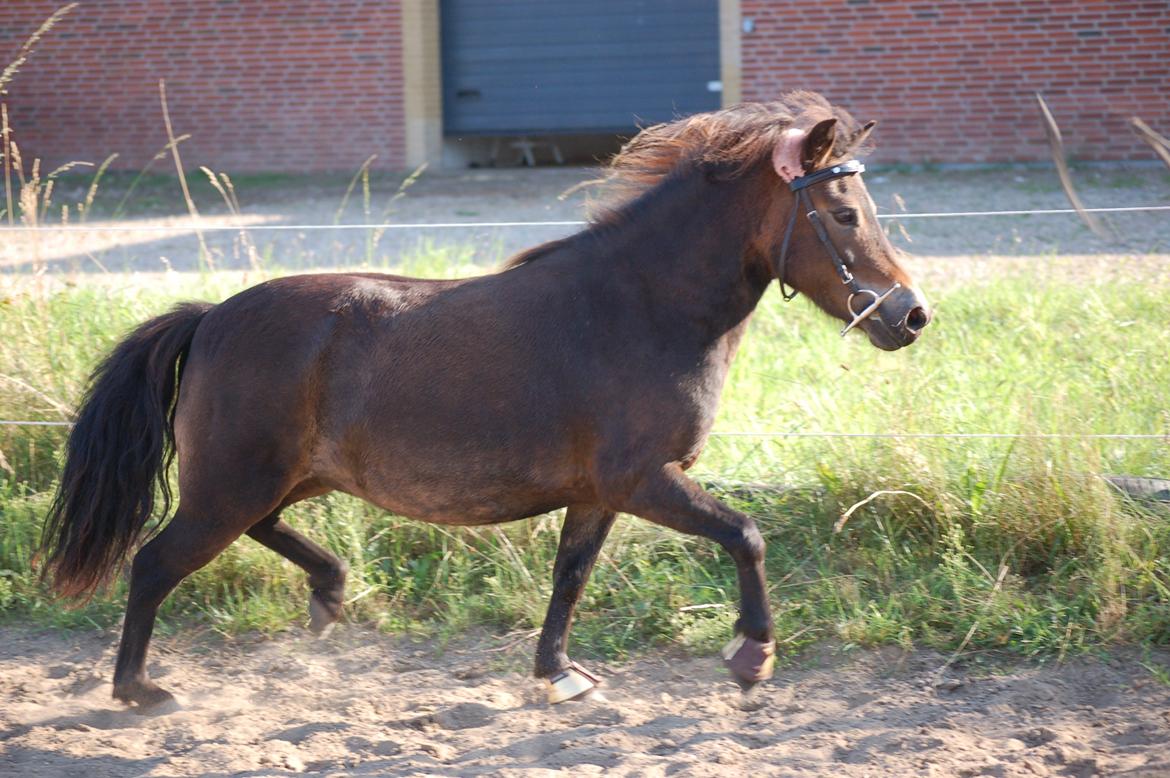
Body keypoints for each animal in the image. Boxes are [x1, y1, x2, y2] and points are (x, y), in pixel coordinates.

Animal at [41, 91, 931, 701]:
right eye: (844, 214)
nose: (911, 316)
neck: (642, 307)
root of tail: (211, 317)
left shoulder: (599, 493)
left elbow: (571, 577)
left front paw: (560, 674)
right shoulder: (643, 479)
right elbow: (745, 535)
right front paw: (752, 654)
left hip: (268, 480)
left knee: (256, 535)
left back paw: (329, 593)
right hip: (231, 483)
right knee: (154, 564)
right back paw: (138, 691)